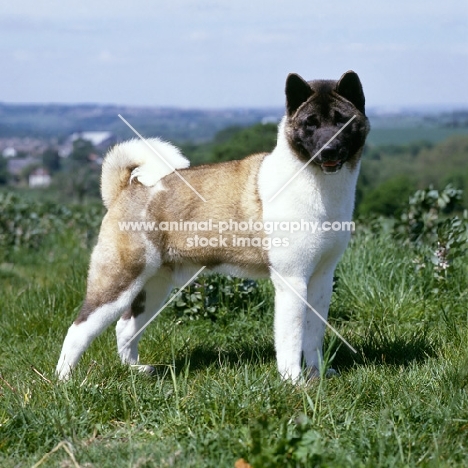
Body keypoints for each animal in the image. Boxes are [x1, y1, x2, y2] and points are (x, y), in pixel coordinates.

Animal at [56, 71, 370, 382]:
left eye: (342, 121)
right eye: (310, 123)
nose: (329, 149)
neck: (316, 183)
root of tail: (125, 189)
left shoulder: (320, 279)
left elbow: (314, 335)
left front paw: (318, 375)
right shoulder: (292, 280)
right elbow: (291, 338)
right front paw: (294, 381)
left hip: (153, 285)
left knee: (126, 328)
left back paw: (135, 370)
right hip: (119, 281)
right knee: (79, 329)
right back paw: (65, 381)